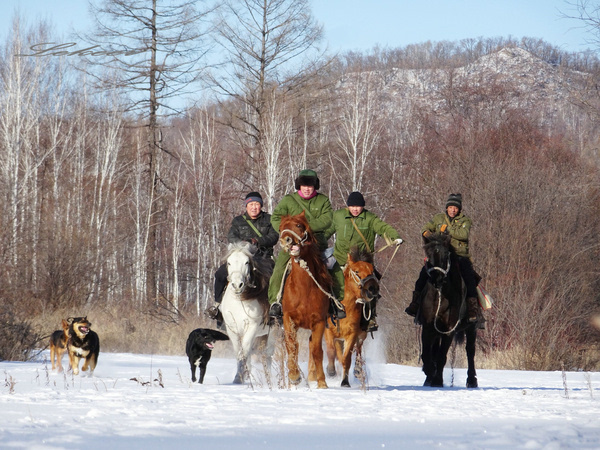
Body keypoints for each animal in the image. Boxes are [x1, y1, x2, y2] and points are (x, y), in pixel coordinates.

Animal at [220, 241, 274, 384]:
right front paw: (240, 377)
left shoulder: (252, 327)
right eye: (229, 263)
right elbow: (240, 353)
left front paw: (239, 378)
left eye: (246, 262)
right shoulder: (232, 329)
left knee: (268, 355)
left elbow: (244, 352)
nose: (237, 285)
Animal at [278, 213, 330, 388]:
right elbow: (291, 346)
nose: (286, 240)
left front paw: (322, 382)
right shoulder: (288, 319)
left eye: (299, 226)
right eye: (280, 228)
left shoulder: (319, 322)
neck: (304, 289)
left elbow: (317, 351)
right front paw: (294, 375)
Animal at [324, 246, 380, 386]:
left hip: (361, 335)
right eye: (357, 271)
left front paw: (345, 381)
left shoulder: (352, 334)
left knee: (358, 351)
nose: (373, 288)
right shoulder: (329, 332)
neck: (344, 308)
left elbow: (347, 358)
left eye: (372, 270)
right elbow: (331, 352)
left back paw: (358, 370)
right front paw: (331, 371)